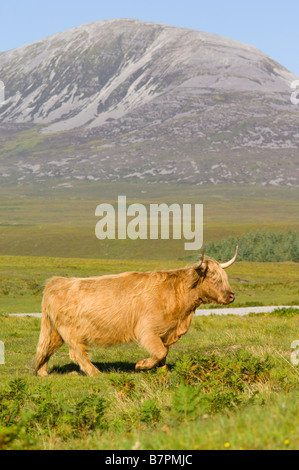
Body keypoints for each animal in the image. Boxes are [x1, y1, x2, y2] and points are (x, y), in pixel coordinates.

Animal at [35, 248, 238, 376]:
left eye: (225, 277)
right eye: (214, 278)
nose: (231, 296)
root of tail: (56, 281)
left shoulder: (164, 333)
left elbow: (163, 353)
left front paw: (163, 372)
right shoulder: (147, 330)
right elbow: (160, 352)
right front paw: (142, 365)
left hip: (56, 332)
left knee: (47, 349)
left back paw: (43, 373)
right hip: (72, 331)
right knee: (77, 353)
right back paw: (96, 373)